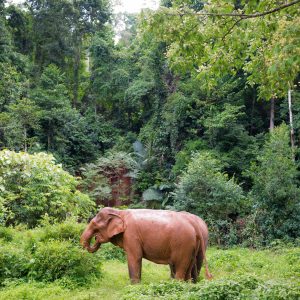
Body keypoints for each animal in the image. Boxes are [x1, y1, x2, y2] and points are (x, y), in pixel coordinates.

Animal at [79, 207, 211, 282]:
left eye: (95, 226)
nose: (96, 238)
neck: (120, 212)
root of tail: (194, 224)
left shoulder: (131, 235)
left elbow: (135, 257)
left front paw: (134, 286)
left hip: (183, 244)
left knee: (180, 267)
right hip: (191, 246)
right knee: (188, 267)